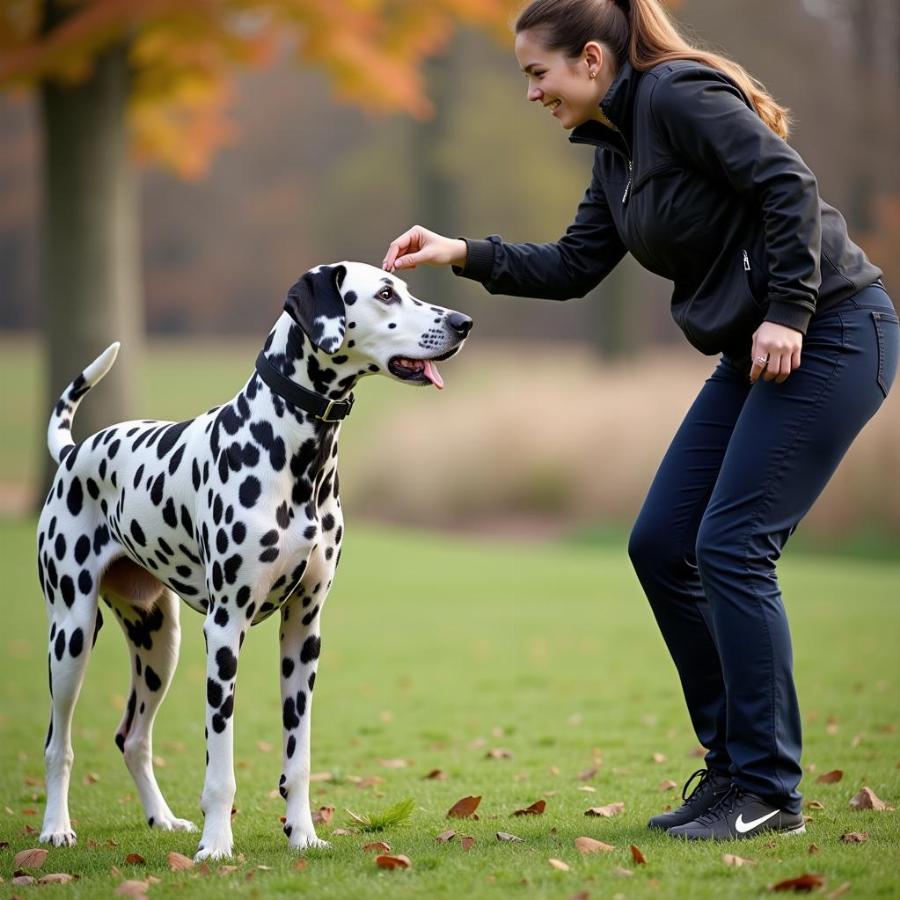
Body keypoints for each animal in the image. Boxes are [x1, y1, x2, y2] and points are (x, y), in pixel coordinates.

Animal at [37, 260, 472, 856]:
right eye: (385, 294)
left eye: (404, 286)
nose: (463, 322)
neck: (296, 454)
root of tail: (73, 452)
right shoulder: (224, 631)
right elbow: (220, 766)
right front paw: (217, 846)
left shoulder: (304, 633)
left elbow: (299, 759)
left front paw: (303, 835)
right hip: (72, 635)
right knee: (58, 743)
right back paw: (56, 827)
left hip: (158, 642)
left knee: (132, 737)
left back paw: (162, 819)